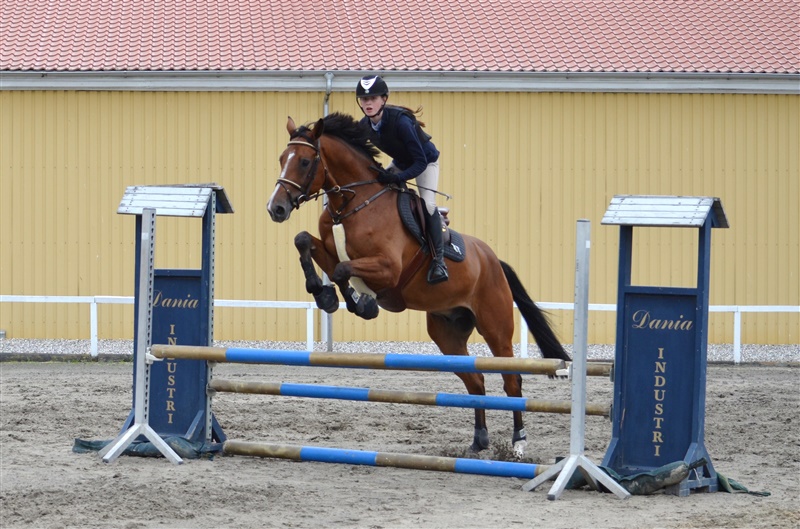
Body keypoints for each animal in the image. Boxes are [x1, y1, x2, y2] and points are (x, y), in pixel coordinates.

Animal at [267, 112, 570, 457]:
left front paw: (362, 304)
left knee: (512, 381)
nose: (276, 208)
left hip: (496, 328)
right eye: (282, 159)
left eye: (305, 162)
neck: (355, 201)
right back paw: (478, 441)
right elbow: (305, 242)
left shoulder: (388, 269)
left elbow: (344, 270)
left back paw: (518, 443)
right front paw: (325, 295)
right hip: (447, 333)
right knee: (475, 380)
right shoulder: (329, 251)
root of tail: (494, 261)